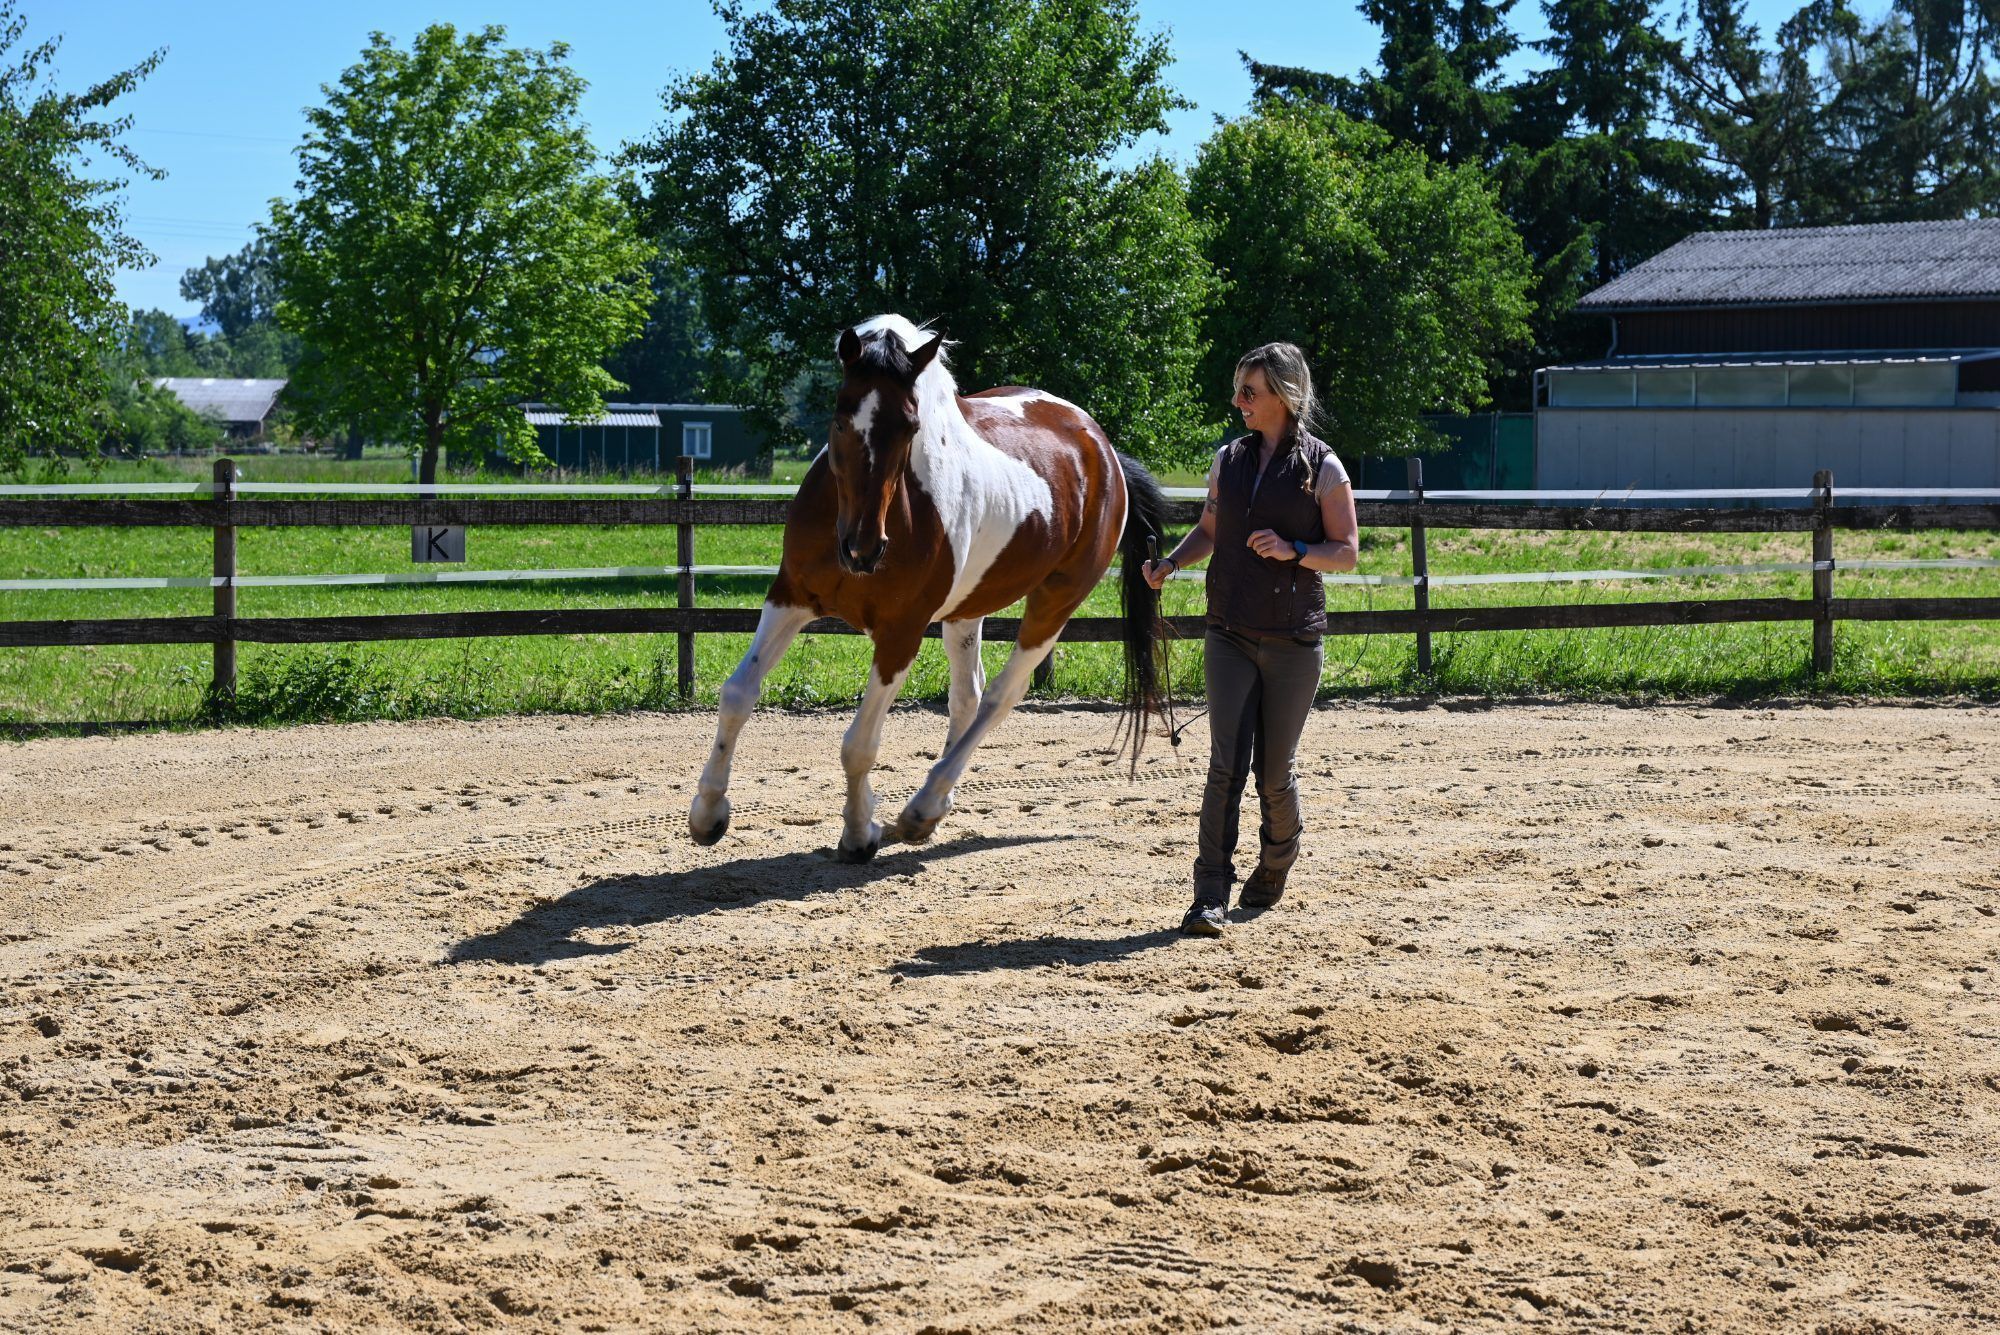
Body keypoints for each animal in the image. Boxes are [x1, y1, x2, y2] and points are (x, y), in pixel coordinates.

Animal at [689, 313, 1169, 861]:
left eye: (911, 428)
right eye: (840, 420)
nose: (862, 549)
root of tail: (1102, 448)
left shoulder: (901, 632)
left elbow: (860, 743)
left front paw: (860, 831)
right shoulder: (791, 598)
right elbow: (737, 694)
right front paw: (708, 814)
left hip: (1057, 601)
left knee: (1000, 696)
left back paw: (922, 808)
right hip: (966, 610)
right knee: (968, 696)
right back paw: (935, 805)